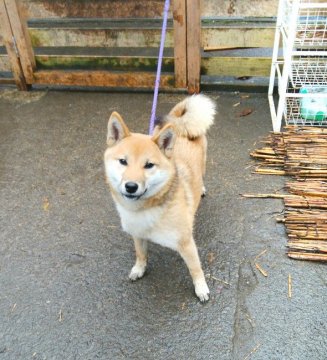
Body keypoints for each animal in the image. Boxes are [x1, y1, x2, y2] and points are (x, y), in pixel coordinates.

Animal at [105, 94, 217, 302]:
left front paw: (201, 288)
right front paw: (139, 269)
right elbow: (141, 254)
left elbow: (195, 269)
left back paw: (202, 188)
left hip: (204, 164)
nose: (131, 186)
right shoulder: (138, 234)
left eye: (149, 165)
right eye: (123, 161)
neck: (147, 209)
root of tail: (179, 125)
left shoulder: (186, 243)